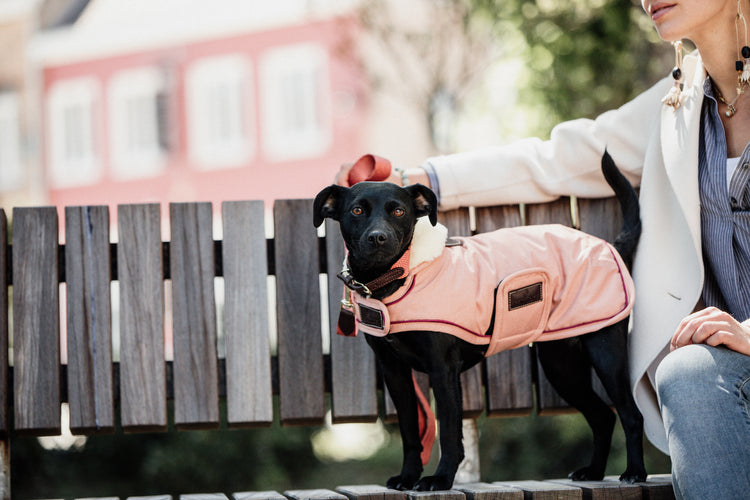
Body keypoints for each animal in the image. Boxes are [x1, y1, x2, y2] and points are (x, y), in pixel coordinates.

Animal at [314, 153, 648, 492]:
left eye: (398, 210)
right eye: (356, 210)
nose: (378, 238)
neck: (399, 277)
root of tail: (610, 246)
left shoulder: (443, 371)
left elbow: (450, 432)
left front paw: (441, 478)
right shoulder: (395, 373)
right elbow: (410, 431)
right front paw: (408, 476)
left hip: (605, 355)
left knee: (631, 416)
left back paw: (634, 472)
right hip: (561, 366)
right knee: (603, 417)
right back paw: (593, 471)